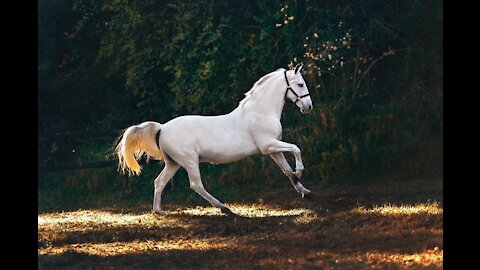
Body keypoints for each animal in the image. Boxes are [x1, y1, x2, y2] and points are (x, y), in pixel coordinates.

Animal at [115, 64, 314, 216]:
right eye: (300, 84)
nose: (308, 107)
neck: (261, 112)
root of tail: (162, 128)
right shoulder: (268, 145)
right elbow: (296, 149)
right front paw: (300, 171)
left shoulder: (274, 150)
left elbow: (287, 171)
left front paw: (305, 191)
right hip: (189, 161)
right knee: (196, 185)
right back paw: (224, 208)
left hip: (173, 163)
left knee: (159, 182)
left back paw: (159, 211)